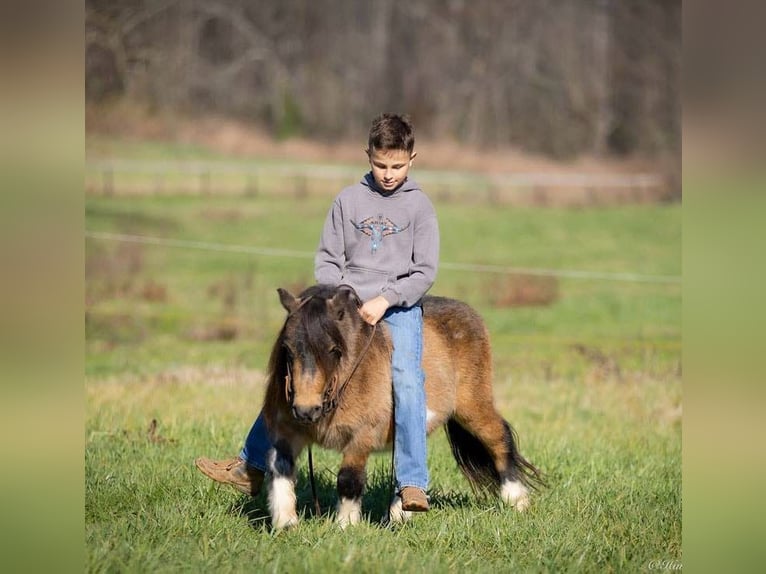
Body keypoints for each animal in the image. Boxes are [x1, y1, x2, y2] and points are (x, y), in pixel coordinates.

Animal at [260, 284, 544, 532]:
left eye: (334, 349)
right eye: (287, 348)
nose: (306, 410)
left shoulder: (361, 438)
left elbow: (349, 480)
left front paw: (345, 526)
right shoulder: (286, 432)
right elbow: (280, 469)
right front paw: (285, 523)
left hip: (472, 406)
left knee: (498, 438)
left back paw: (516, 500)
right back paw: (401, 512)